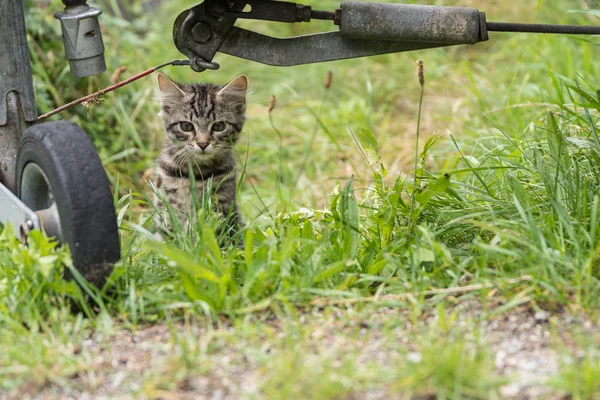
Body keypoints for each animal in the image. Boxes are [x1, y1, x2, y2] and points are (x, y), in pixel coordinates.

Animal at [155, 72, 248, 238]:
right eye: (186, 126)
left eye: (219, 126)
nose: (203, 144)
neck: (196, 173)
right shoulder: (165, 210)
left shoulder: (224, 209)